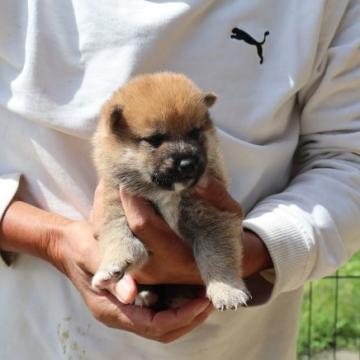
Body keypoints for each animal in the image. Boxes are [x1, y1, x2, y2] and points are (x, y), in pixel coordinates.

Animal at [93, 72, 249, 310]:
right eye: (155, 139)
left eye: (194, 133)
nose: (187, 164)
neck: (166, 193)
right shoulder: (116, 209)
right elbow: (118, 239)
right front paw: (112, 267)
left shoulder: (213, 218)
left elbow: (217, 256)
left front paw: (227, 291)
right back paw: (145, 295)